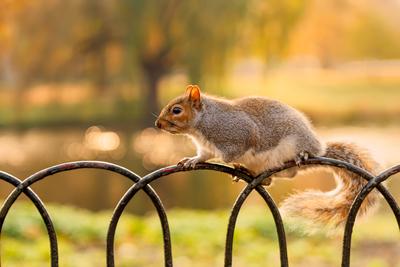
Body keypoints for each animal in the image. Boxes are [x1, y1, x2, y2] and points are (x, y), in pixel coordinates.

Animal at [155, 85, 380, 230]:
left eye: (176, 110)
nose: (158, 124)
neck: (202, 124)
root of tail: (319, 149)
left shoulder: (237, 137)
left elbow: (227, 156)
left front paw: (229, 162)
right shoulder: (205, 148)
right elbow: (203, 155)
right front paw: (192, 160)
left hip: (295, 146)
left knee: (290, 171)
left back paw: (302, 155)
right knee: (275, 178)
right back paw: (249, 172)